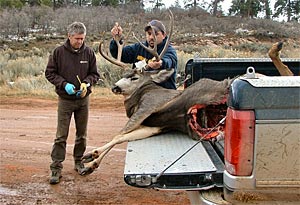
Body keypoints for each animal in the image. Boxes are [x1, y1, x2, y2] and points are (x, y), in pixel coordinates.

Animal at [79, 10, 232, 175]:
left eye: (134, 77)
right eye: (123, 75)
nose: (115, 87)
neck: (140, 94)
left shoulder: (147, 106)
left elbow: (119, 134)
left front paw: (91, 156)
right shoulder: (155, 126)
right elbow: (123, 137)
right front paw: (91, 162)